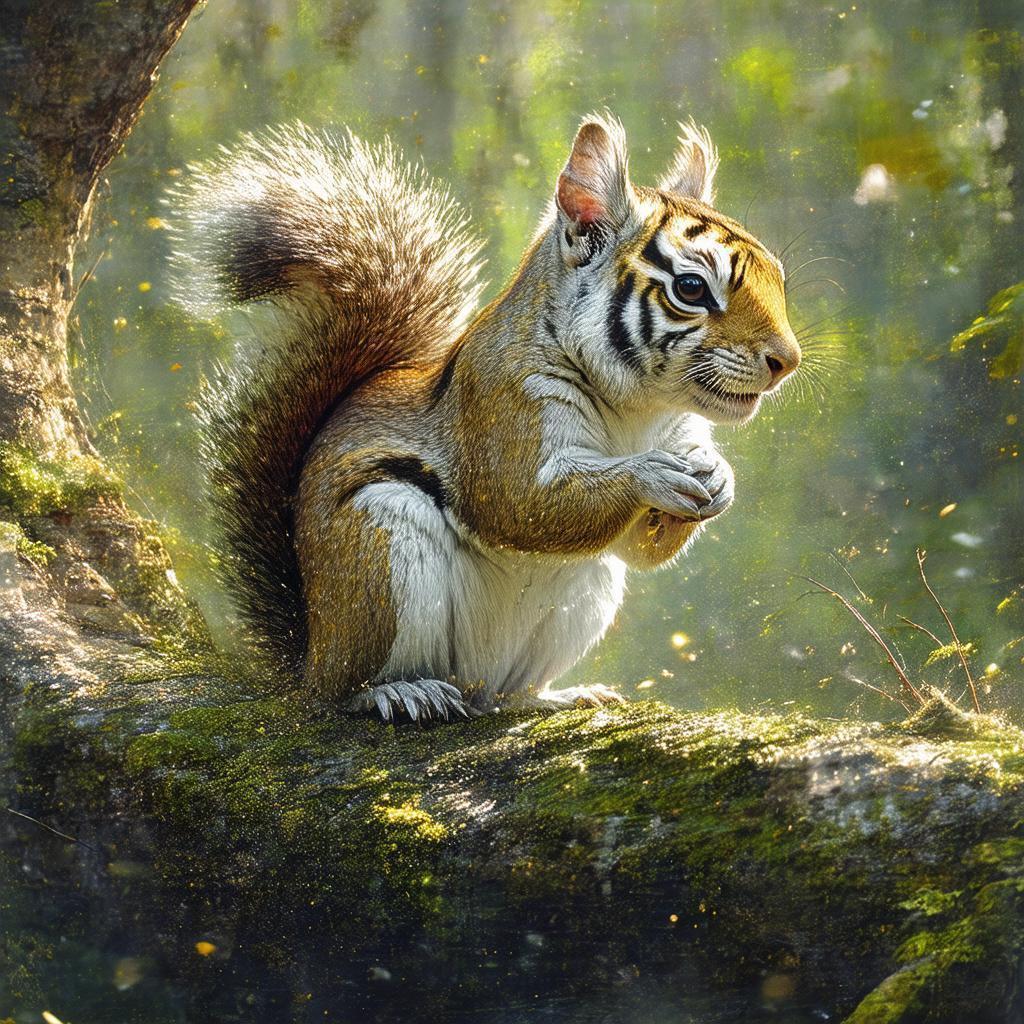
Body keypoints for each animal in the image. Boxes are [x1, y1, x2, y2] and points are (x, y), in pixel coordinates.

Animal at [170, 114, 800, 721]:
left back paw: (552, 696)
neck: (638, 410)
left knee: (499, 695)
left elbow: (642, 550)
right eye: (691, 287)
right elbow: (518, 501)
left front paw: (718, 477)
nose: (786, 361)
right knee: (347, 690)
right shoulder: (500, 405)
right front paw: (652, 474)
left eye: (779, 276)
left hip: (583, 596)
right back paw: (399, 692)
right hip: (379, 554)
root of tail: (311, 658)